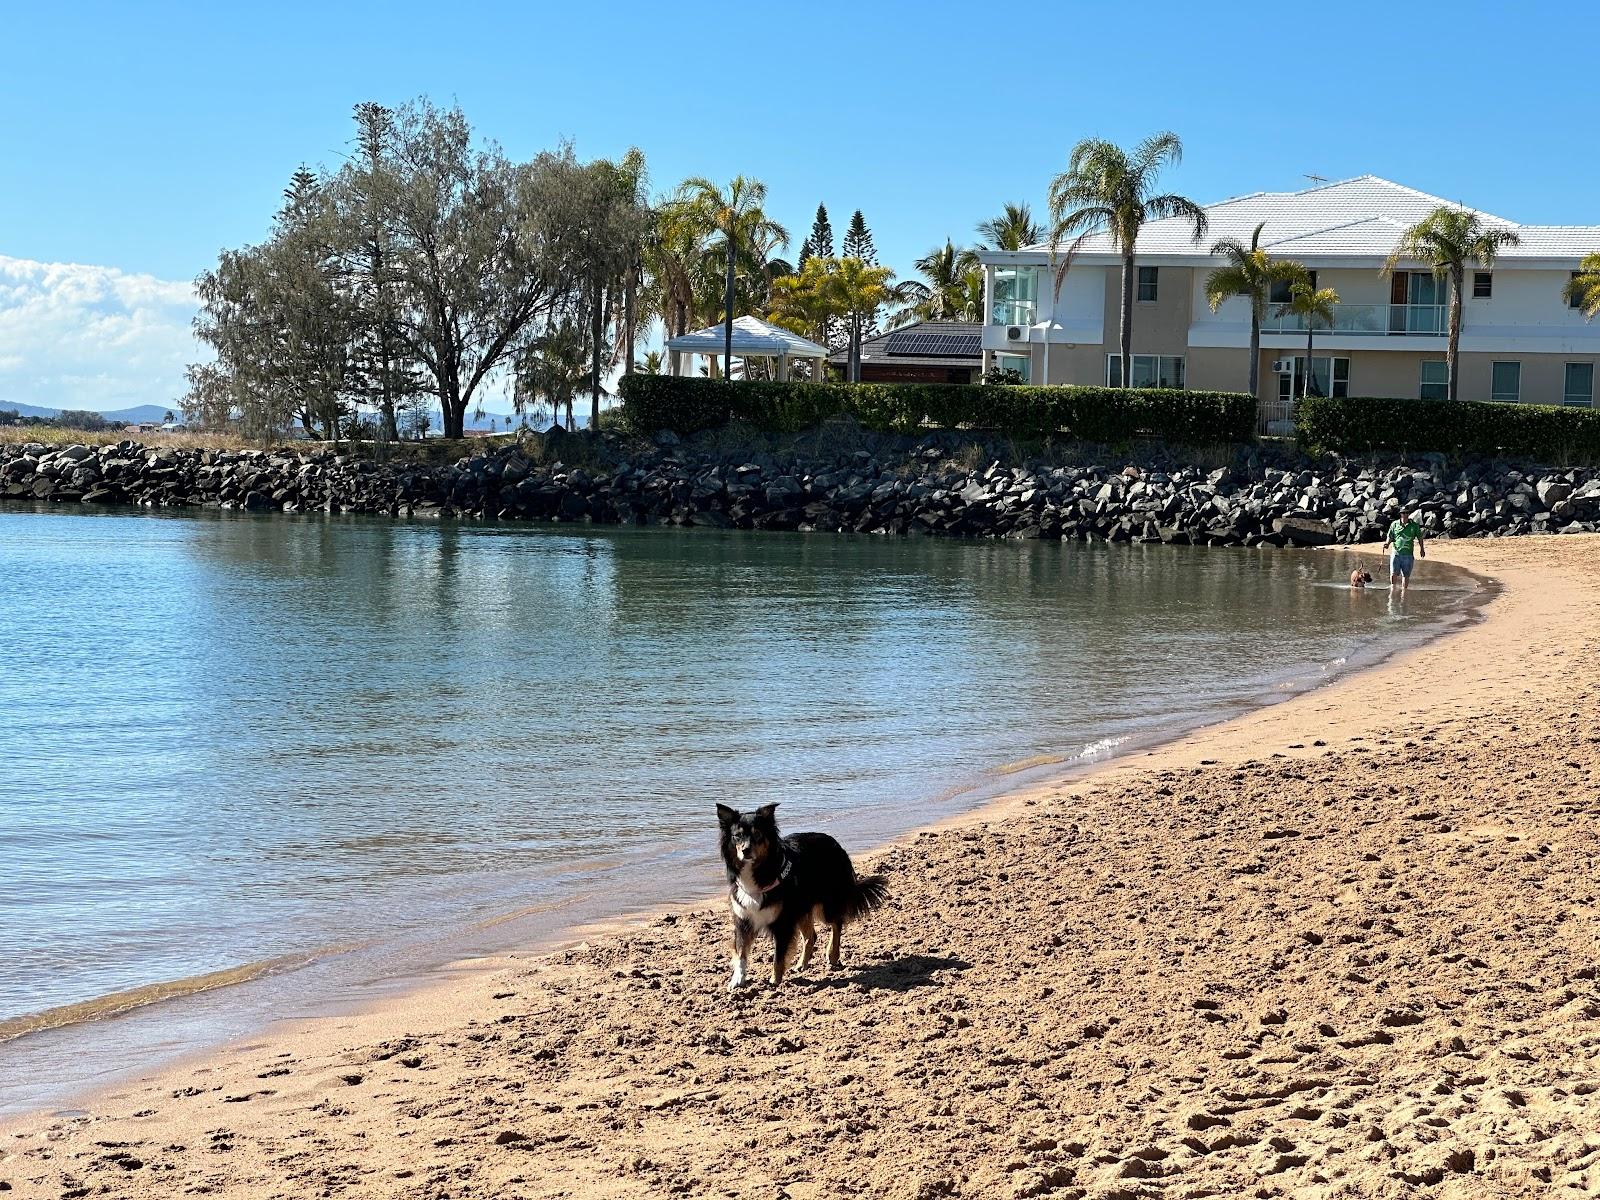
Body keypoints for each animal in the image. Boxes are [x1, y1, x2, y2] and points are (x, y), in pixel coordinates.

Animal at [716, 803, 889, 992]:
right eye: (737, 836)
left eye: (758, 834)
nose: (745, 850)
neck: (759, 872)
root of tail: (834, 843)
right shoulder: (743, 920)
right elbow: (741, 954)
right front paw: (737, 980)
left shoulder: (783, 923)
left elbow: (778, 957)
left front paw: (774, 981)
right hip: (801, 908)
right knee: (811, 936)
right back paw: (801, 964)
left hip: (826, 905)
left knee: (837, 924)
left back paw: (833, 955)